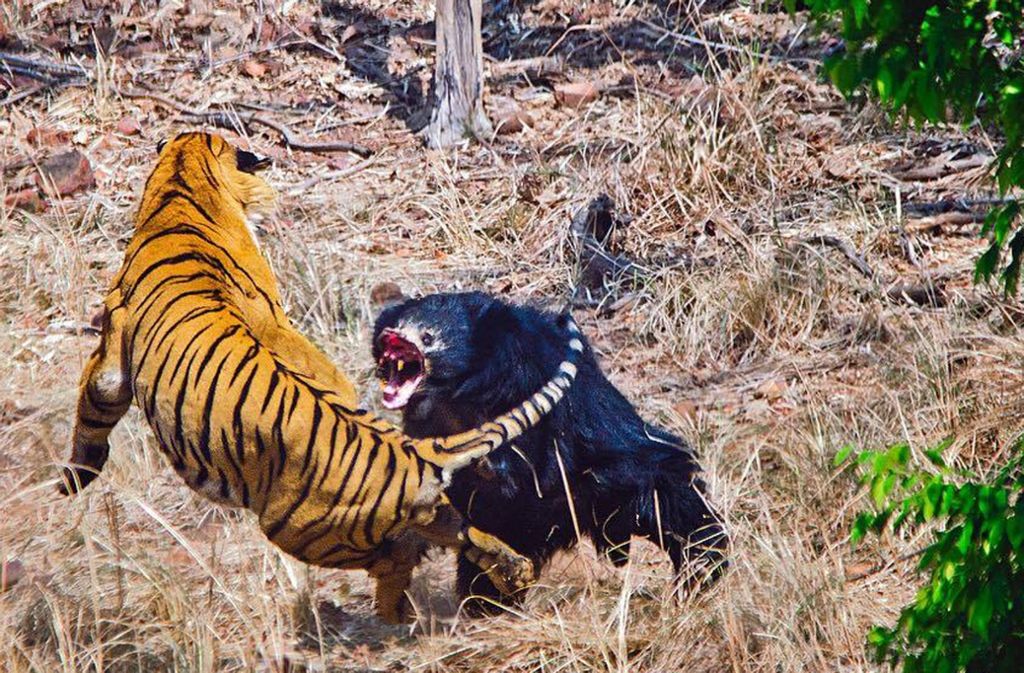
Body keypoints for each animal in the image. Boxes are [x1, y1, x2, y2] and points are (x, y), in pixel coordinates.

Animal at [58, 132, 585, 622]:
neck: (185, 185)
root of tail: (413, 451)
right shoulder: (276, 319)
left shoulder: (112, 352)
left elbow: (94, 404)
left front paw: (75, 479)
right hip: (425, 512)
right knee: (465, 534)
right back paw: (510, 573)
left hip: (298, 529)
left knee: (397, 556)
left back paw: (394, 613)